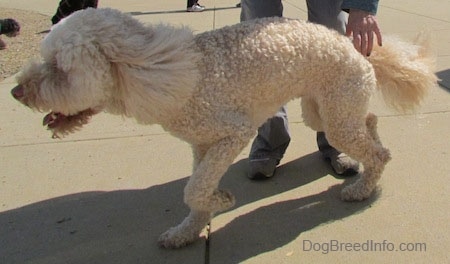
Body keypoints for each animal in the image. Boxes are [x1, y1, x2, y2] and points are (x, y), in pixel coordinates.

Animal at [11, 7, 436, 248]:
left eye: (59, 68)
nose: (15, 92)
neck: (168, 70)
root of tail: (351, 45)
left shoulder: (233, 133)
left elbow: (194, 188)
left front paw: (221, 201)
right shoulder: (202, 145)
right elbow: (196, 189)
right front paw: (188, 231)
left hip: (335, 116)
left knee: (378, 151)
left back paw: (362, 189)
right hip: (326, 110)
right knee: (369, 122)